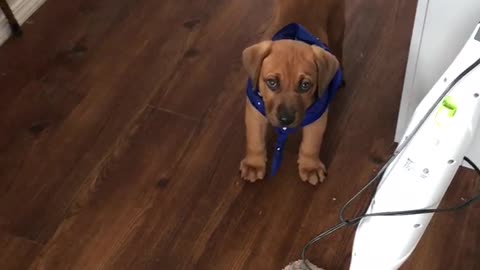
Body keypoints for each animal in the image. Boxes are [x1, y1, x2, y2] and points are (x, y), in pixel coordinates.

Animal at [240, 0, 344, 186]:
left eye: (305, 85)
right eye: (272, 83)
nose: (286, 120)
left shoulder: (317, 116)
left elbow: (311, 143)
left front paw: (310, 166)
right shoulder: (255, 111)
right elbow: (254, 140)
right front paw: (254, 164)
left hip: (337, 22)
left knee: (339, 47)